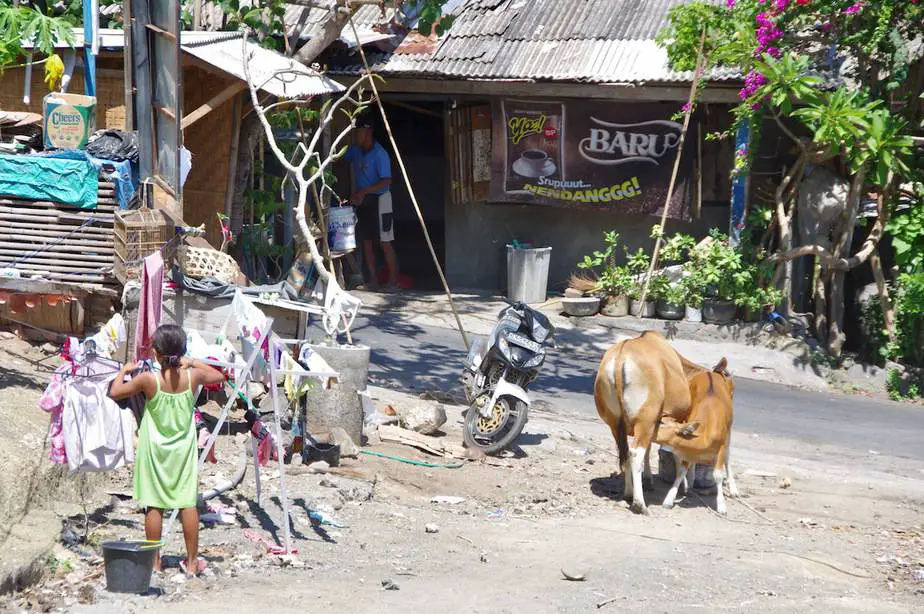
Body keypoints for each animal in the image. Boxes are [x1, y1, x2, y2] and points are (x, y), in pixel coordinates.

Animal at [592, 332, 708, 516]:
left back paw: (628, 493)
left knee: (625, 453)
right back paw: (640, 504)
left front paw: (648, 480)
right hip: (644, 422)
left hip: (614, 424)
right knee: (635, 453)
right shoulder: (666, 420)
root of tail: (620, 357)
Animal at [660, 360, 740, 516]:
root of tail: (710, 372)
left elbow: (718, 474)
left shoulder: (721, 446)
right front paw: (669, 499)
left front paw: (721, 506)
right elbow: (682, 470)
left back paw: (733, 489)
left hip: (729, 431)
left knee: (728, 457)